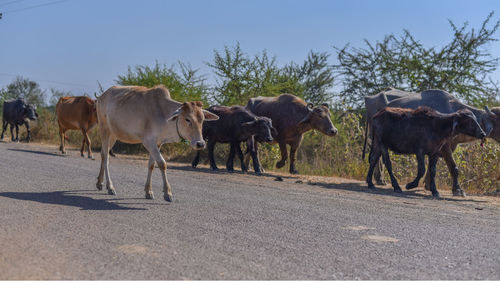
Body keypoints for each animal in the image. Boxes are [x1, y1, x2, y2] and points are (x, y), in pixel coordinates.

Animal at [364, 87, 500, 195]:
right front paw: (457, 190)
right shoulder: (440, 147)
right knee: (382, 160)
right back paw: (383, 181)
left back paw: (374, 181)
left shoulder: (439, 148)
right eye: (499, 120)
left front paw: (430, 187)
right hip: (378, 141)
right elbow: (453, 168)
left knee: (374, 158)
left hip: (378, 143)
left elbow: (432, 169)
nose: (482, 133)